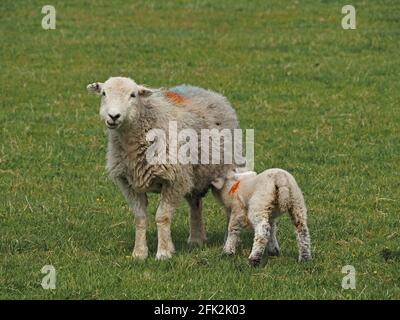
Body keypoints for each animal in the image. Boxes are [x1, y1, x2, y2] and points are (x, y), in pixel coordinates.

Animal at [86, 77, 239, 260]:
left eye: (133, 95)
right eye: (103, 93)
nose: (113, 116)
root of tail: (208, 91)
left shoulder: (174, 180)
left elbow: (162, 217)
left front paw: (163, 253)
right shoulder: (128, 183)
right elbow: (140, 218)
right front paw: (139, 253)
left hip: (224, 171)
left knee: (229, 207)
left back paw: (227, 242)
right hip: (193, 175)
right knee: (195, 204)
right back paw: (196, 239)